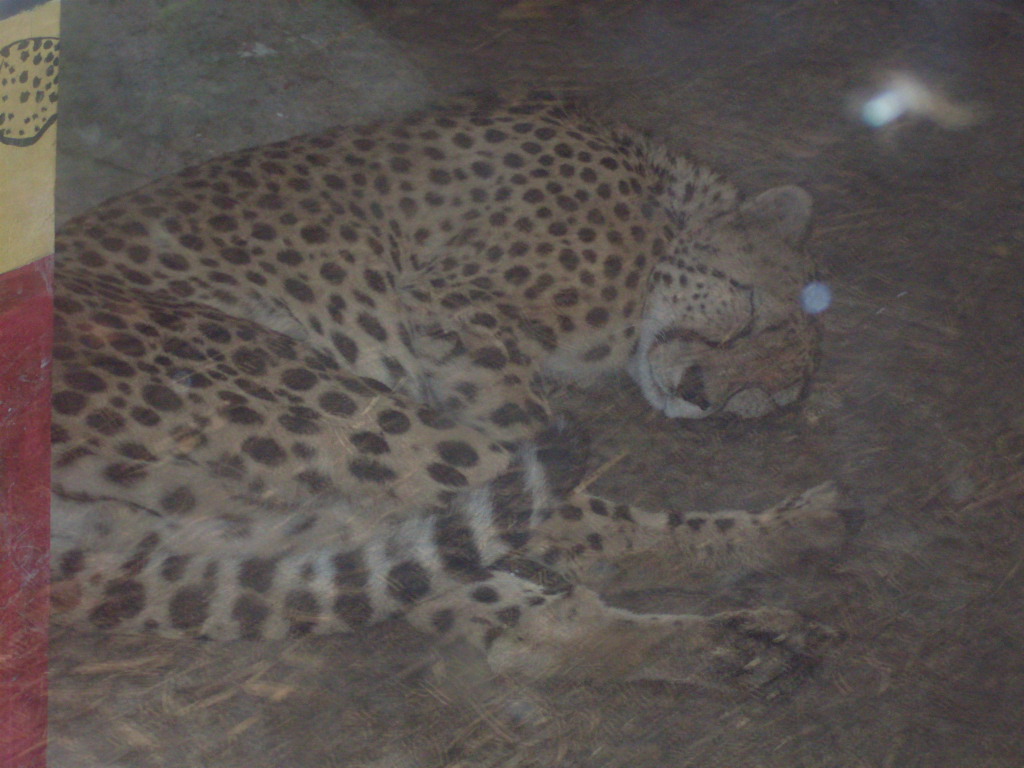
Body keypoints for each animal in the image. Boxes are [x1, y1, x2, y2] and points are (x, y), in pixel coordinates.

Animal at [50, 92, 852, 689]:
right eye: (750, 311)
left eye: (765, 397)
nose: (699, 394)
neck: (660, 204)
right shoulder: (456, 301)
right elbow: (522, 430)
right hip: (311, 402)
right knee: (569, 519)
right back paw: (792, 533)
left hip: (243, 513)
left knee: (517, 620)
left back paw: (744, 645)